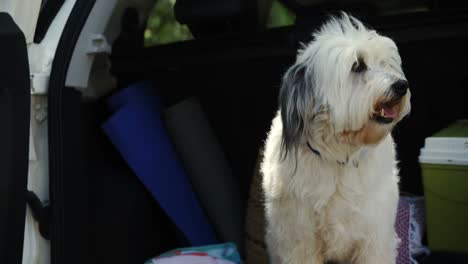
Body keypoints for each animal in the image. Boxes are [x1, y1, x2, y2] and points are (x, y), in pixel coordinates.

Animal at [262, 12, 412, 264]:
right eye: (358, 66)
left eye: (385, 63)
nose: (402, 85)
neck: (340, 153)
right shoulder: (299, 242)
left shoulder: (374, 237)